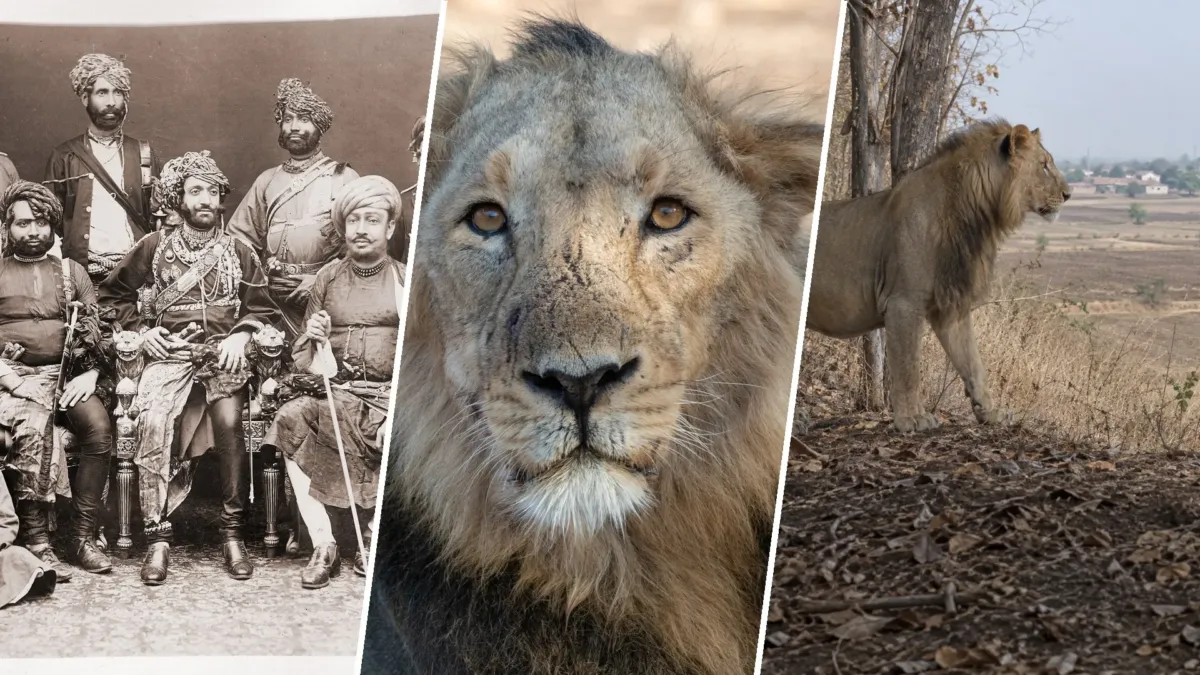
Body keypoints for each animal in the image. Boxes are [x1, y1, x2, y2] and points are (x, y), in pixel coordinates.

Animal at [805, 120, 1071, 432]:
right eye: (1044, 165)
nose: (1069, 194)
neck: (976, 217)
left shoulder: (951, 308)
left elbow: (973, 364)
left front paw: (991, 413)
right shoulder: (903, 302)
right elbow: (908, 367)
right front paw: (911, 419)